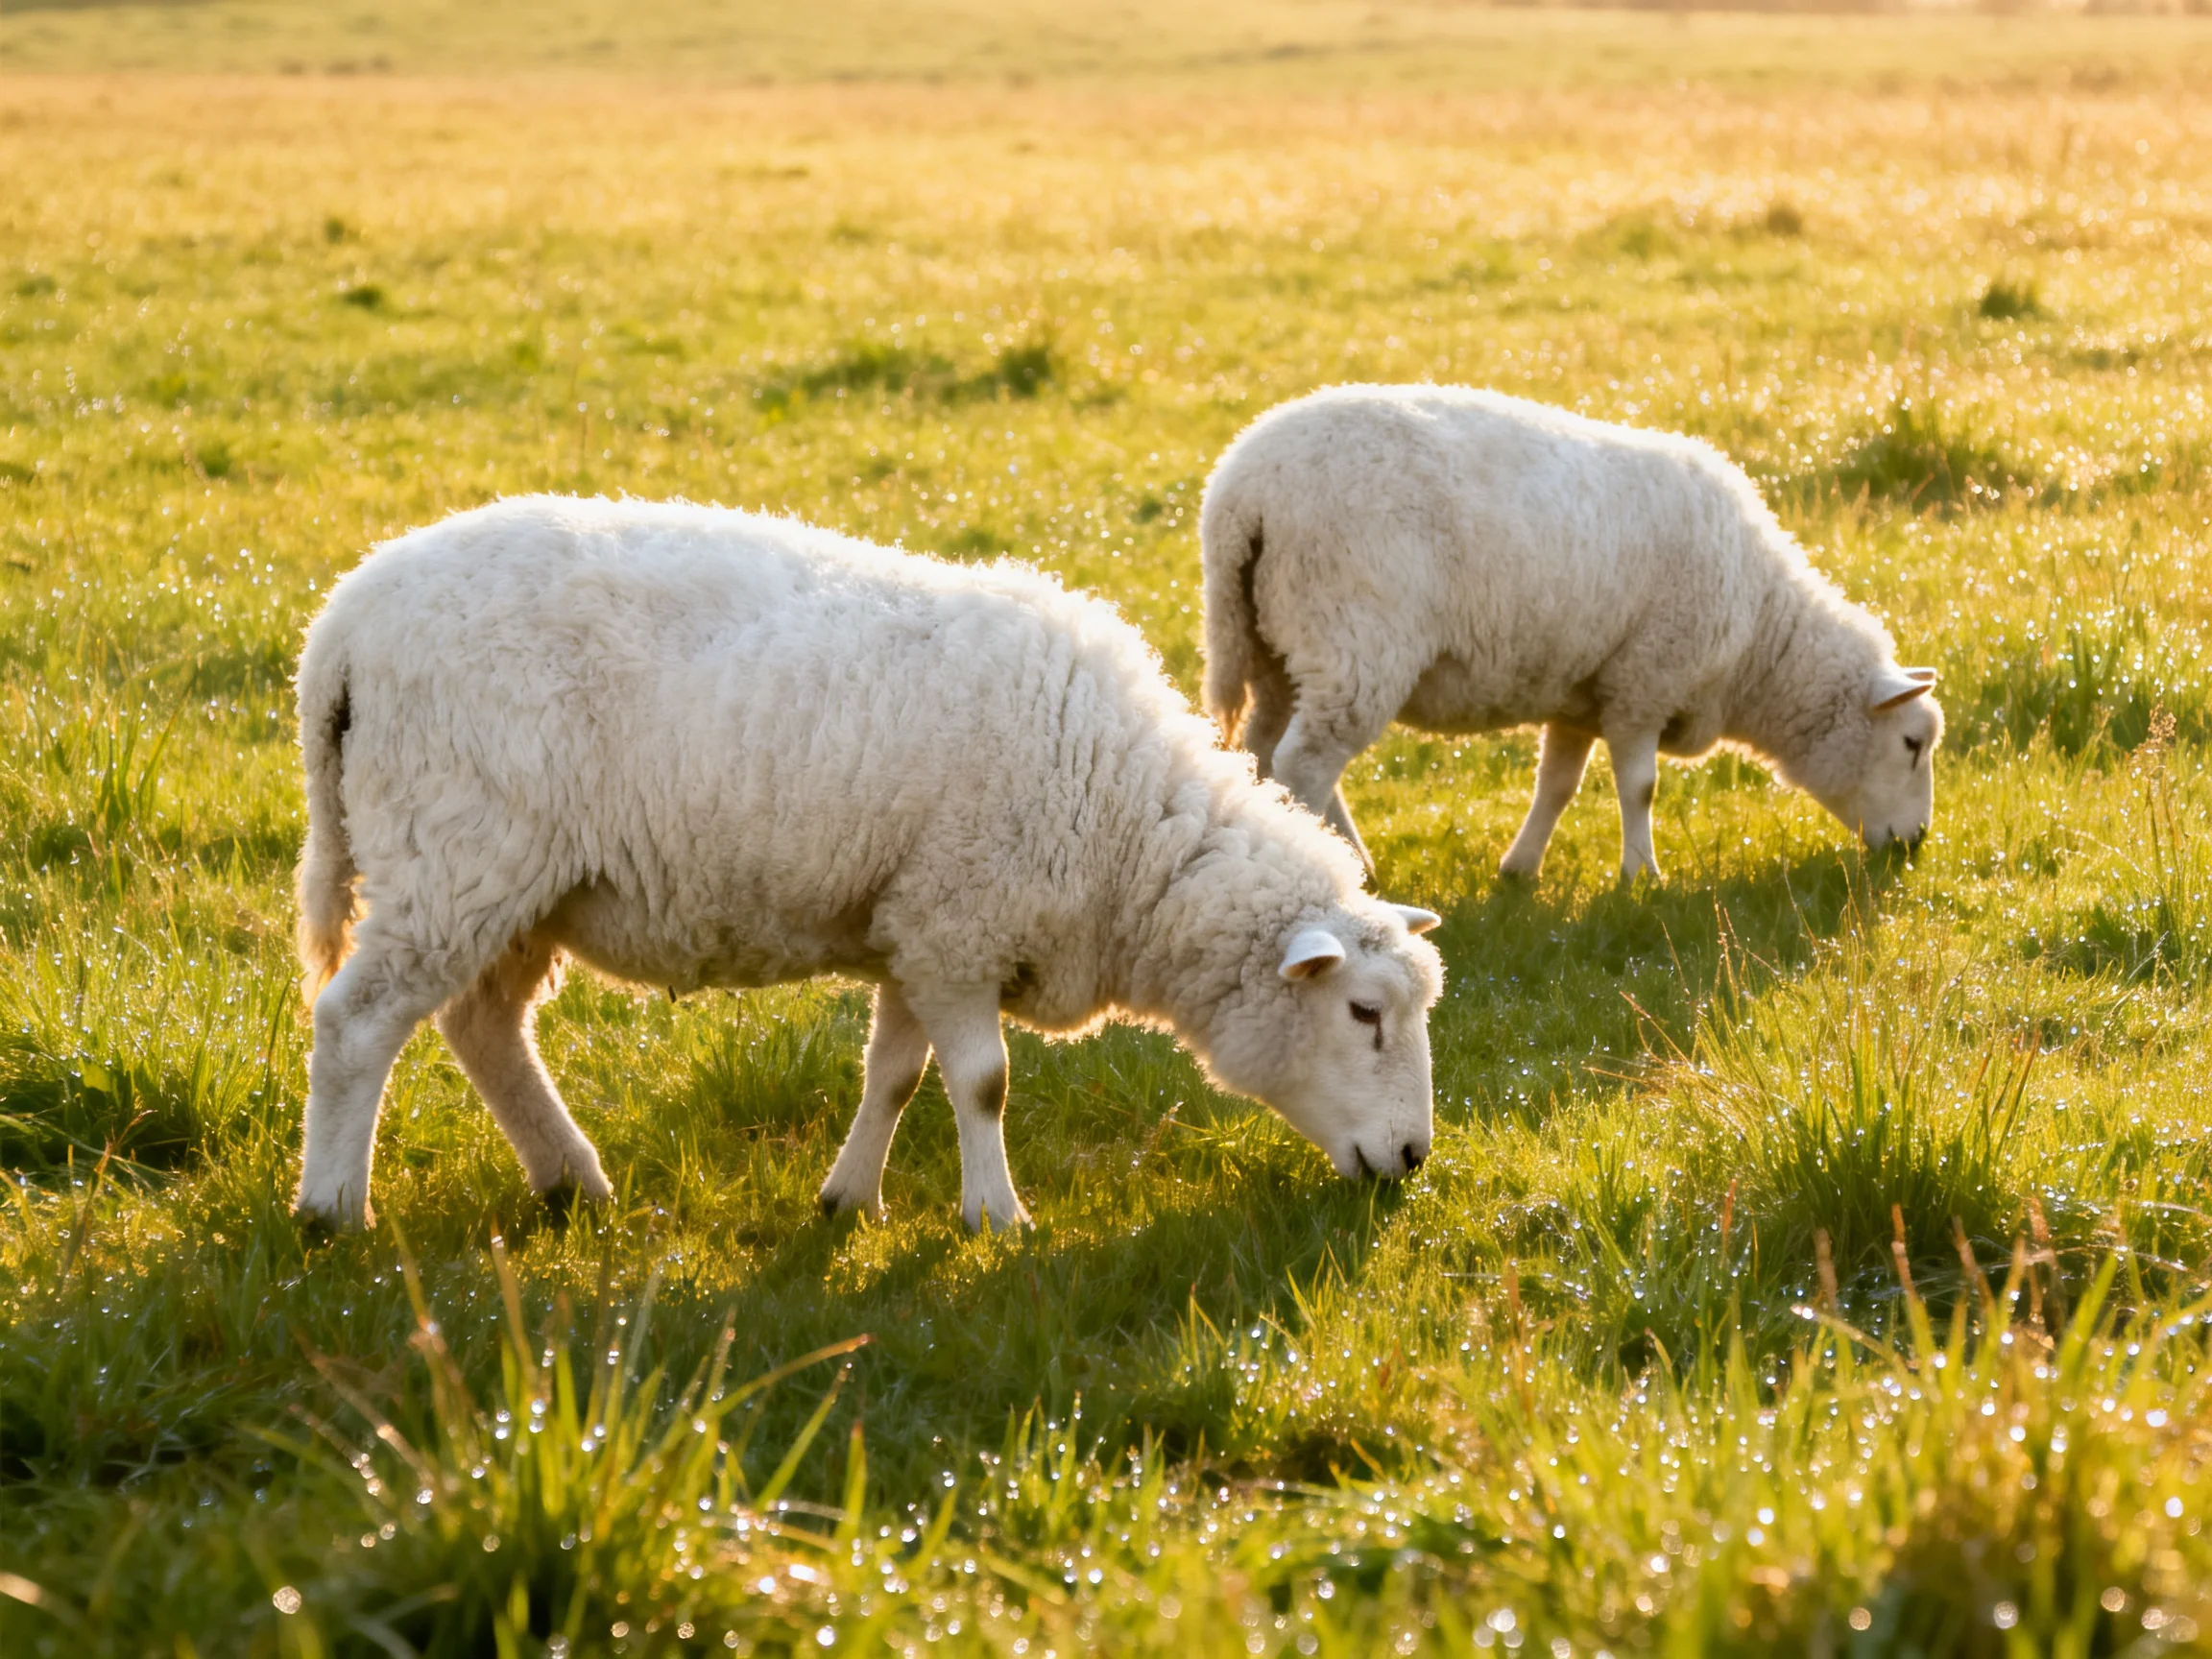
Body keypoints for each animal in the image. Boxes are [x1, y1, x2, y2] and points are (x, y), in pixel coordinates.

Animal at [291, 494, 1446, 1234]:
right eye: (1363, 1014)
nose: (1413, 1160)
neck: (1124, 830)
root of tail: (341, 625)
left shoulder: (922, 928)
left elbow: (896, 1074)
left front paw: (851, 1200)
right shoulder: (960, 919)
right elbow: (983, 1083)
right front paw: (998, 1218)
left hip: (513, 882)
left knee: (482, 1028)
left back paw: (572, 1181)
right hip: (459, 852)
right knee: (357, 1023)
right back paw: (333, 1211)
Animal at [1201, 385, 1943, 882]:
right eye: (1911, 743)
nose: (1915, 846)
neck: (1761, 641)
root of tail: (1242, 493)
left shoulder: (1582, 694)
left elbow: (1556, 786)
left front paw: (1519, 871)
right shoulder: (1646, 679)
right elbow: (1640, 787)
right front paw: (1642, 877)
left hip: (1271, 643)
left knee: (1265, 752)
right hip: (1352, 639)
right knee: (1305, 764)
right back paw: (1343, 867)